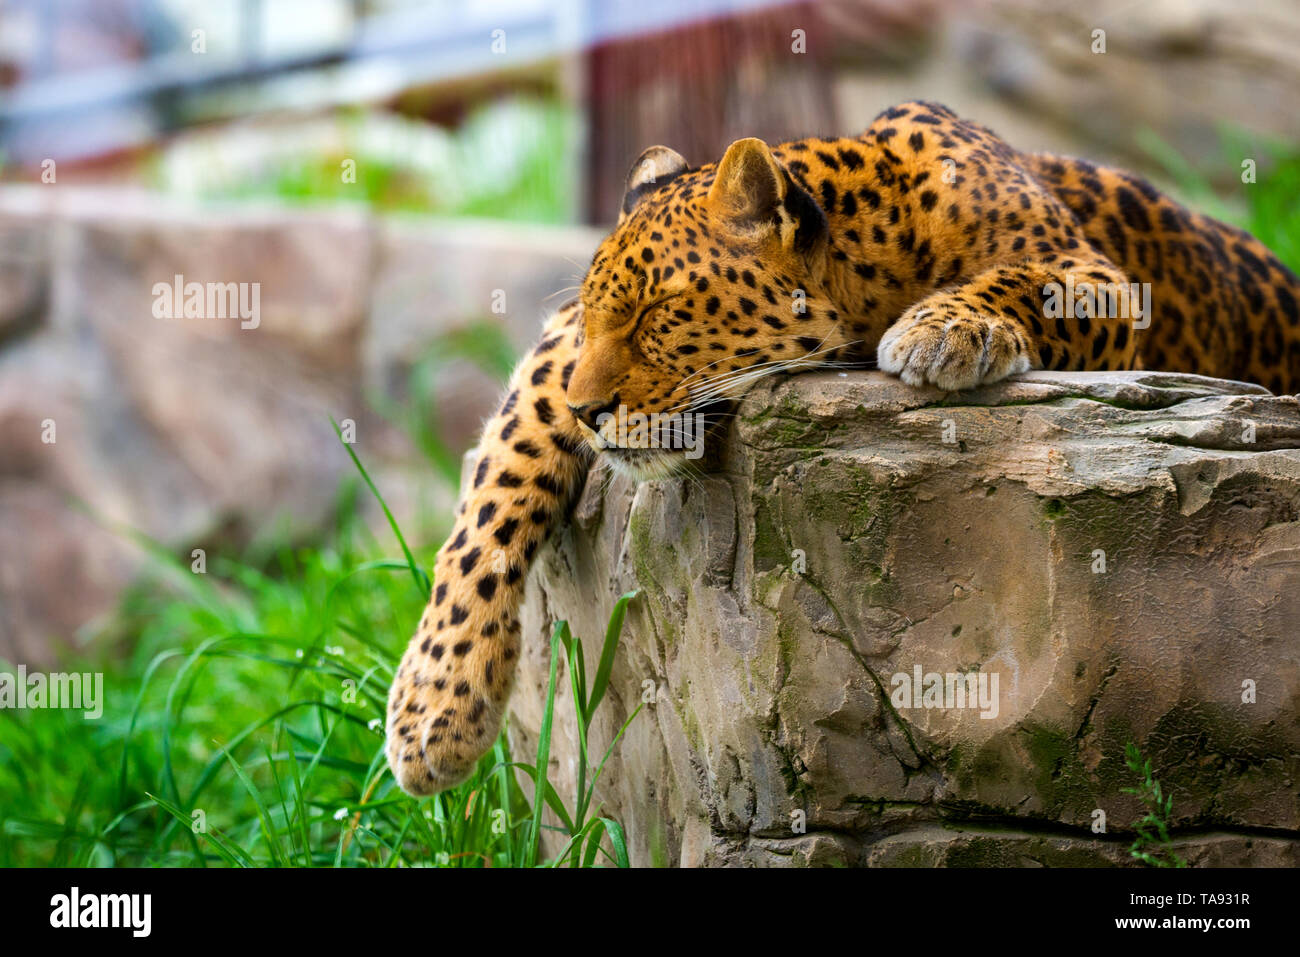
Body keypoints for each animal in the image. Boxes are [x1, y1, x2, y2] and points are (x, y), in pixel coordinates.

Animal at [386, 99, 1300, 795]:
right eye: (603, 315)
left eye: (657, 313)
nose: (587, 412)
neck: (877, 255)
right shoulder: (560, 348)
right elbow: (499, 477)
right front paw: (434, 707)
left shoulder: (1096, 275)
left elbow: (1023, 278)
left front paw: (944, 327)